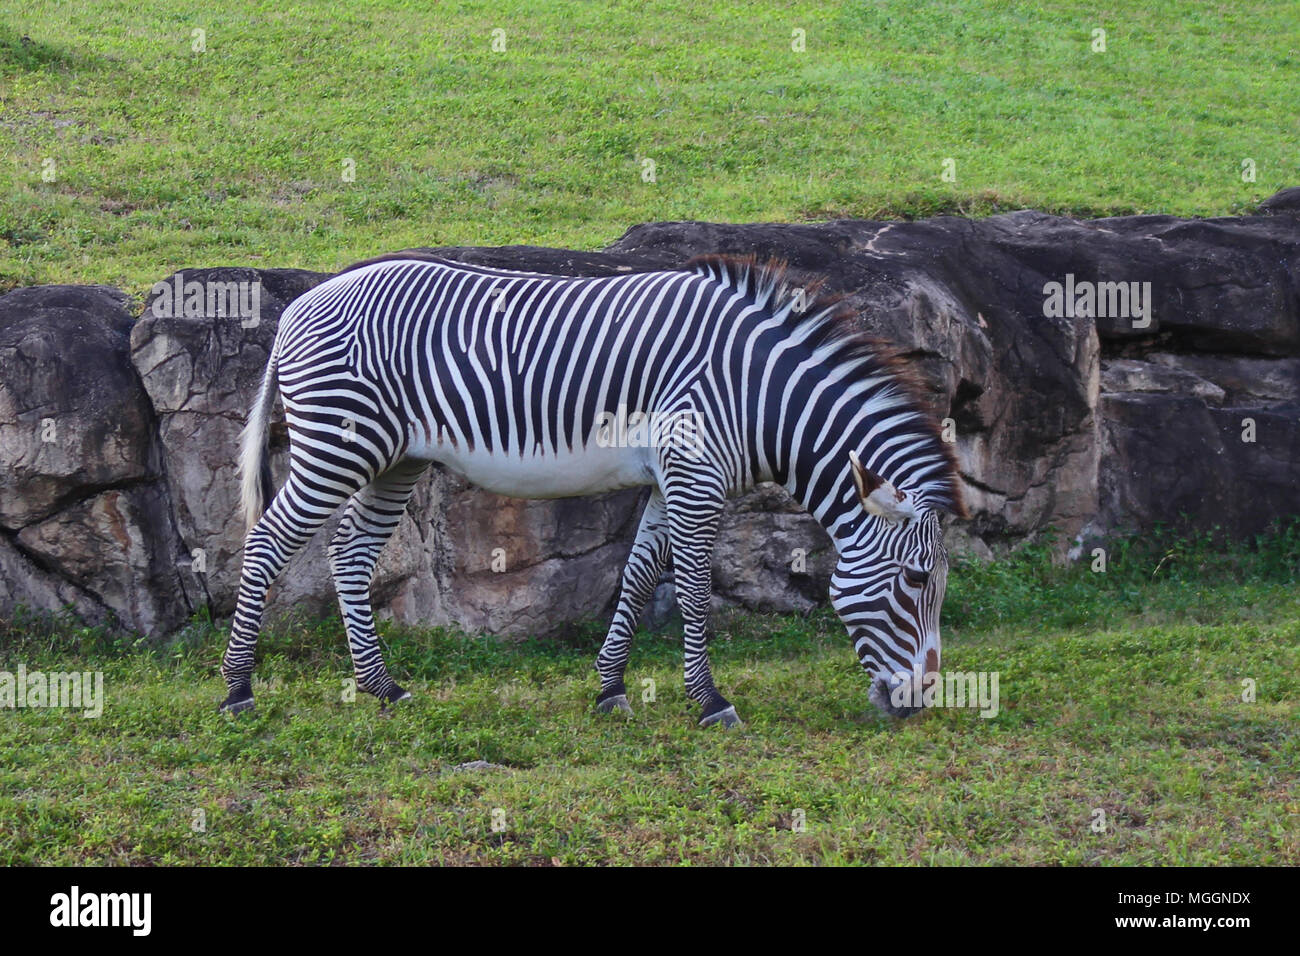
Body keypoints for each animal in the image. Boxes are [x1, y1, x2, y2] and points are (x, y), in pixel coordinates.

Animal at [218, 254, 967, 723]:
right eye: (914, 580)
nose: (920, 702)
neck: (756, 391)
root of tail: (299, 304)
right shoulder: (696, 477)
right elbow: (691, 591)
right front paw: (711, 702)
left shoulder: (672, 479)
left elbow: (636, 578)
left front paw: (611, 690)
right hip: (339, 445)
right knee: (265, 544)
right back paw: (237, 690)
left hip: (390, 458)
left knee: (348, 553)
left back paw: (382, 688)